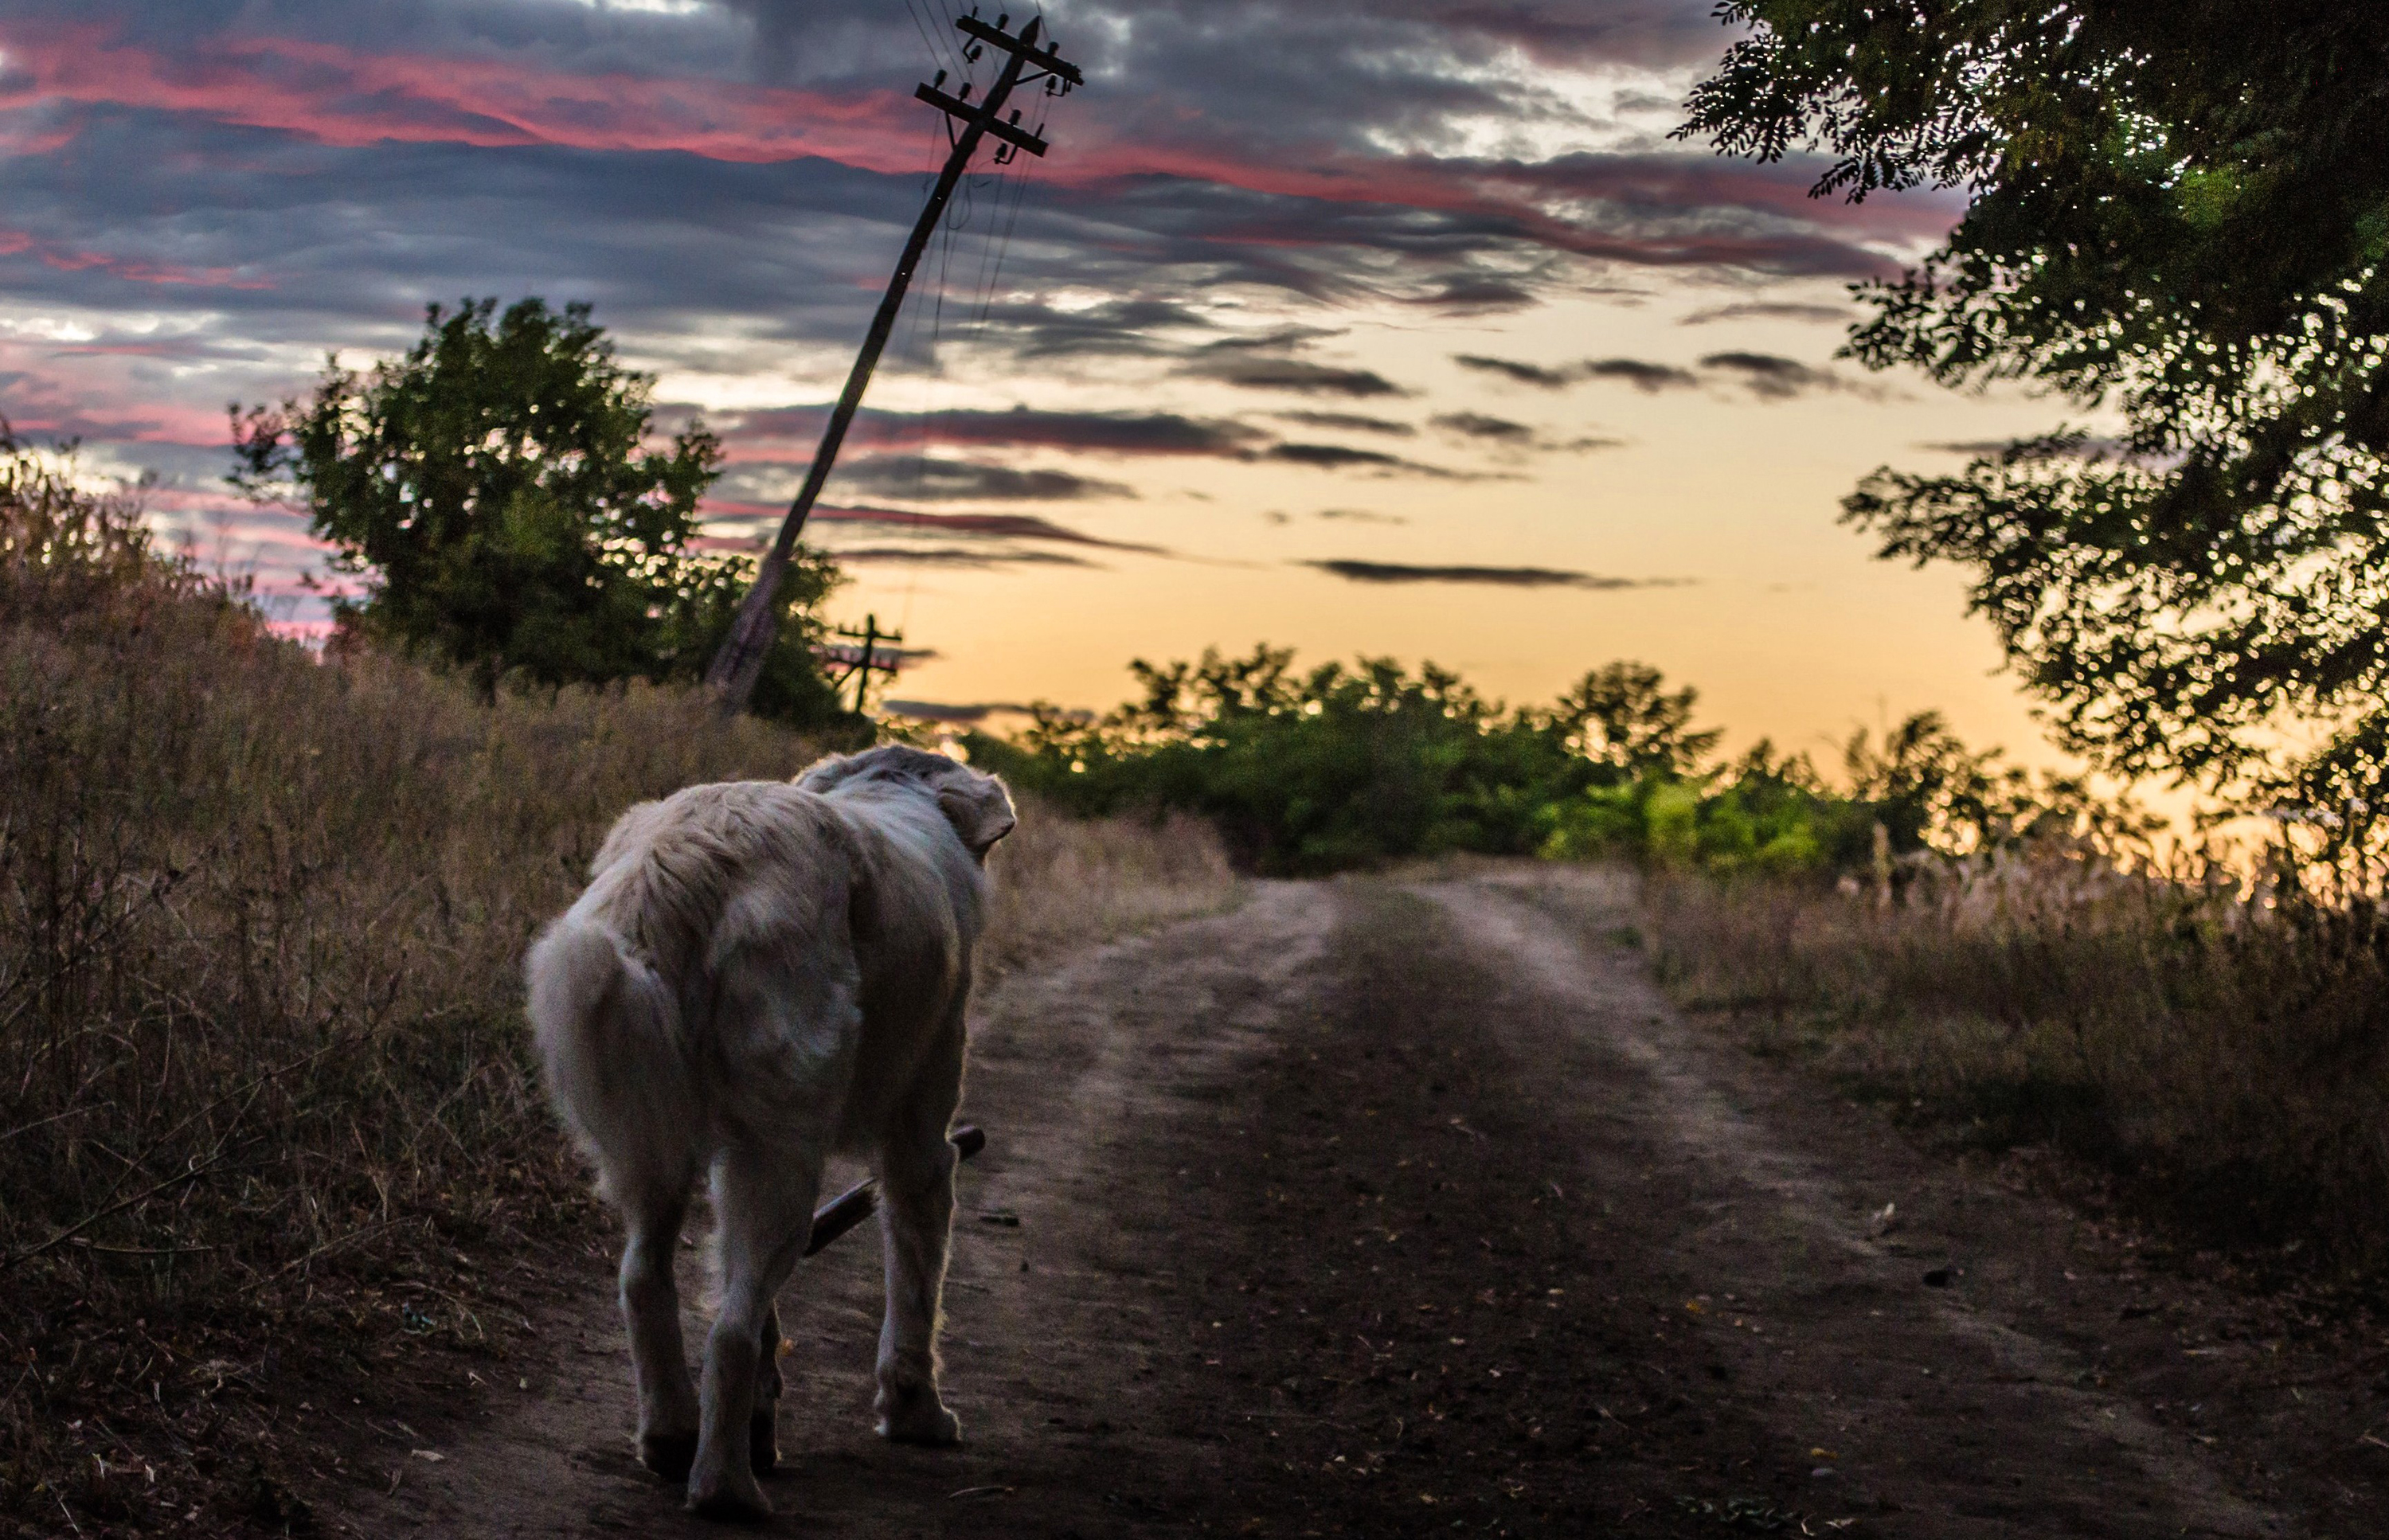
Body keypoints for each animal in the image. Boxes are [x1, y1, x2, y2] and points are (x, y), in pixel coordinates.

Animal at [528, 740, 1013, 1509]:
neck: (893, 787)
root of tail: (690, 854)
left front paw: (766, 1419)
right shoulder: (922, 1146)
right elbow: (916, 1281)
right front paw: (918, 1415)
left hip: (656, 1137)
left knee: (647, 1279)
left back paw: (671, 1437)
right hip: (783, 1152)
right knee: (730, 1331)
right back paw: (727, 1489)